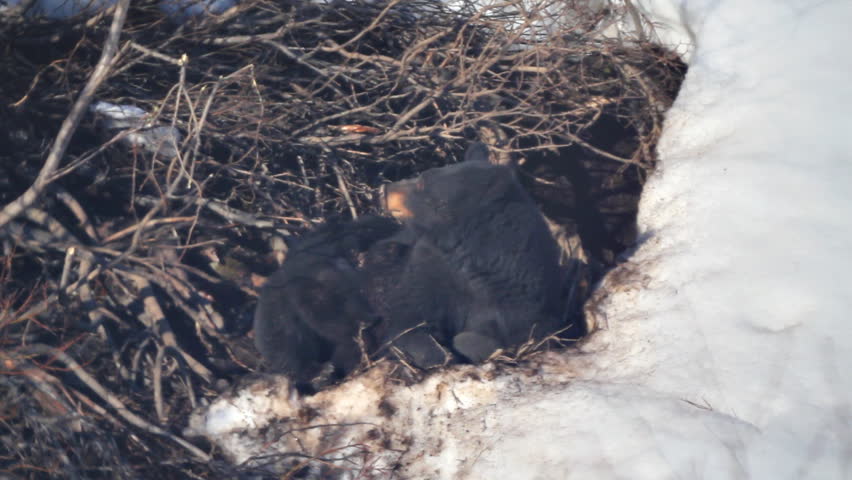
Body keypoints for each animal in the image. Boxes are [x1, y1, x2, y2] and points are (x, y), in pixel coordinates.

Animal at [373, 143, 566, 368]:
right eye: (422, 175)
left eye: (422, 182)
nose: (384, 188)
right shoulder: (430, 264)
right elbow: (409, 317)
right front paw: (435, 351)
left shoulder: (522, 299)